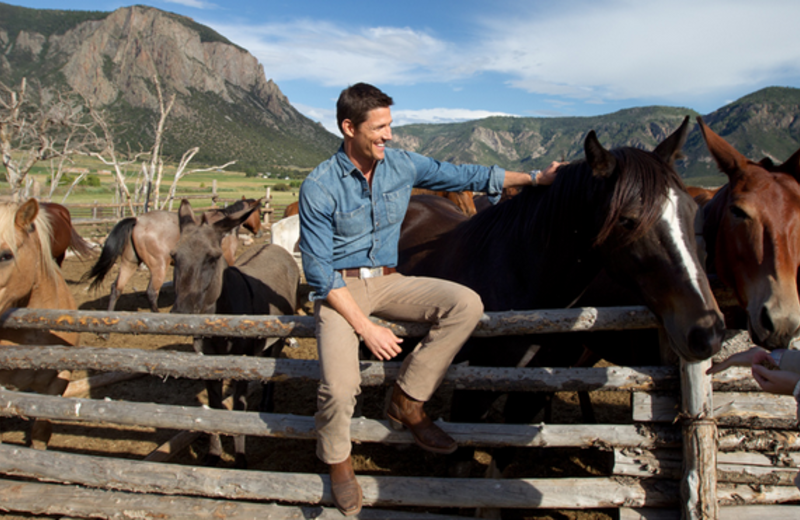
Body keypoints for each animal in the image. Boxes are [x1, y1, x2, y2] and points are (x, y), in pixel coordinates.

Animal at [86, 199, 264, 312]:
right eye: (258, 212)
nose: (260, 231)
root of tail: (138, 220)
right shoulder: (228, 259)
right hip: (158, 266)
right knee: (151, 292)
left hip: (130, 262)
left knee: (116, 288)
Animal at [172, 197, 300, 470]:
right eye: (173, 257)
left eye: (212, 258)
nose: (181, 313)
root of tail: (275, 247)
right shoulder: (206, 365)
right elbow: (215, 406)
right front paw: (213, 455)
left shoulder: (241, 363)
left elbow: (239, 407)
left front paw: (240, 457)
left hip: (277, 339)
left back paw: (266, 404)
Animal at [398, 117, 724, 472]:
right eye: (627, 220)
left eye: (692, 211)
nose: (706, 331)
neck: (518, 279)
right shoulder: (471, 389)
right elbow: (462, 462)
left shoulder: (531, 393)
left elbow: (502, 461)